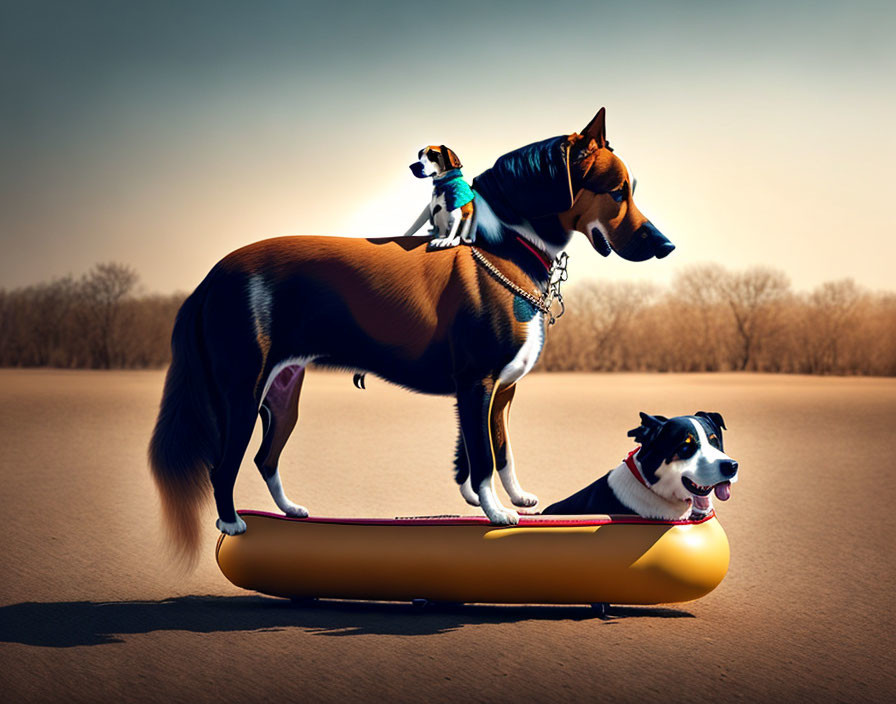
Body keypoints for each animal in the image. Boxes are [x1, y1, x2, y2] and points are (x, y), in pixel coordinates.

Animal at [150, 108, 676, 560]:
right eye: (617, 191)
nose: (666, 245)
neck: (504, 247)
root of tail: (213, 276)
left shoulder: (498, 391)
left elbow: (495, 450)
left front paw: (507, 498)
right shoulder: (477, 382)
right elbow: (484, 456)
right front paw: (497, 513)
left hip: (283, 392)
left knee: (265, 457)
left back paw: (291, 511)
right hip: (240, 391)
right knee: (223, 464)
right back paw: (232, 522)